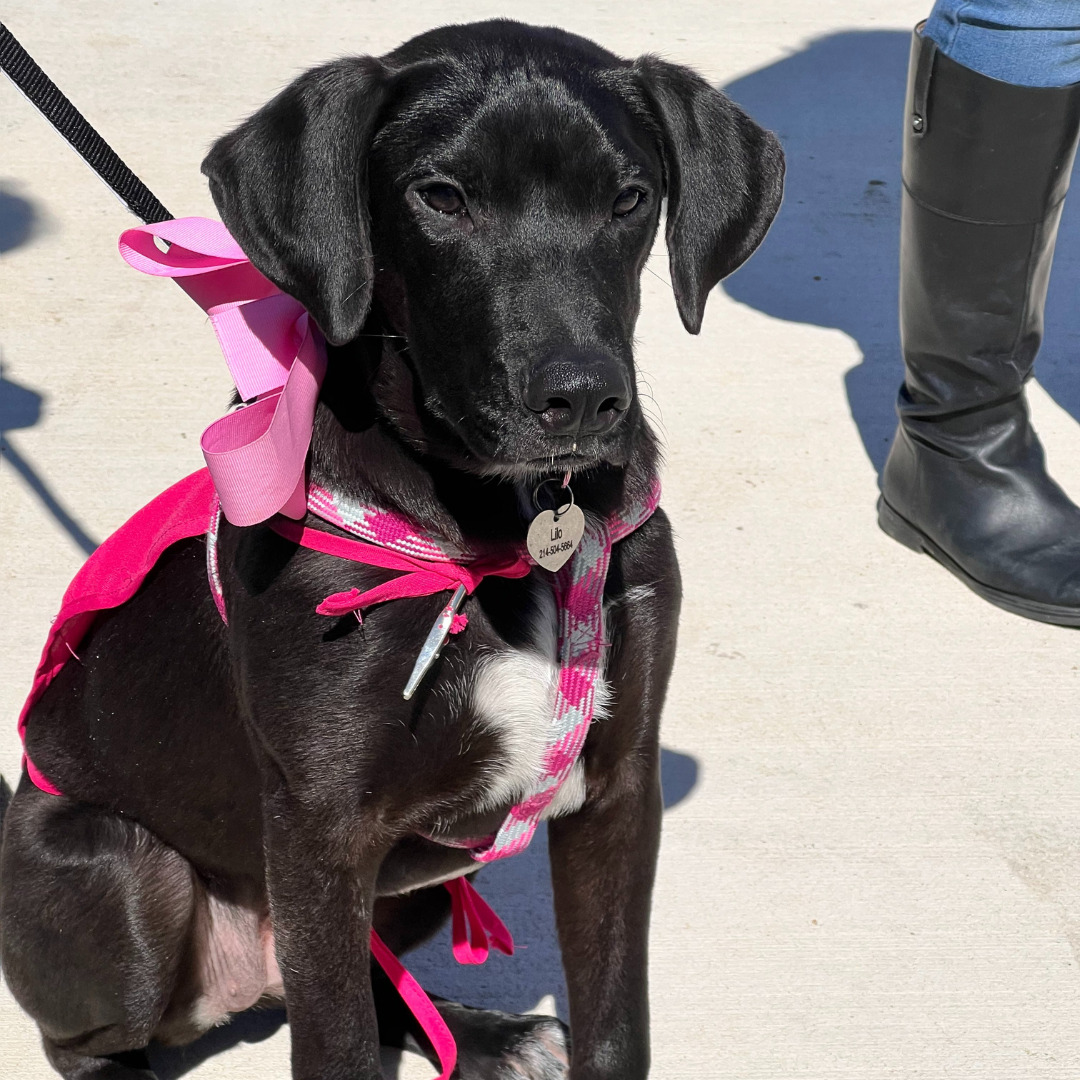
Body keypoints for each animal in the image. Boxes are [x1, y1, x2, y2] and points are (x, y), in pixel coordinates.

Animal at [0, 19, 782, 1080]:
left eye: (629, 198)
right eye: (441, 198)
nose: (584, 399)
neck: (507, 524)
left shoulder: (617, 789)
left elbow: (618, 1021)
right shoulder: (322, 828)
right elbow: (336, 1047)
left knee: (378, 982)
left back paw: (487, 1035)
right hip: (119, 870)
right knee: (92, 1039)